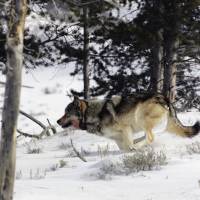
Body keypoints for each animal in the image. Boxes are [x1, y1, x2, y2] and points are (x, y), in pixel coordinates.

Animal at [56, 94, 200, 151]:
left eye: (67, 113)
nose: (57, 121)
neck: (94, 114)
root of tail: (163, 97)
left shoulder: (126, 128)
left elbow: (129, 144)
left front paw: (134, 148)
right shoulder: (117, 139)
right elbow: (124, 147)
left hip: (140, 118)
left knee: (150, 137)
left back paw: (137, 147)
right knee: (148, 137)